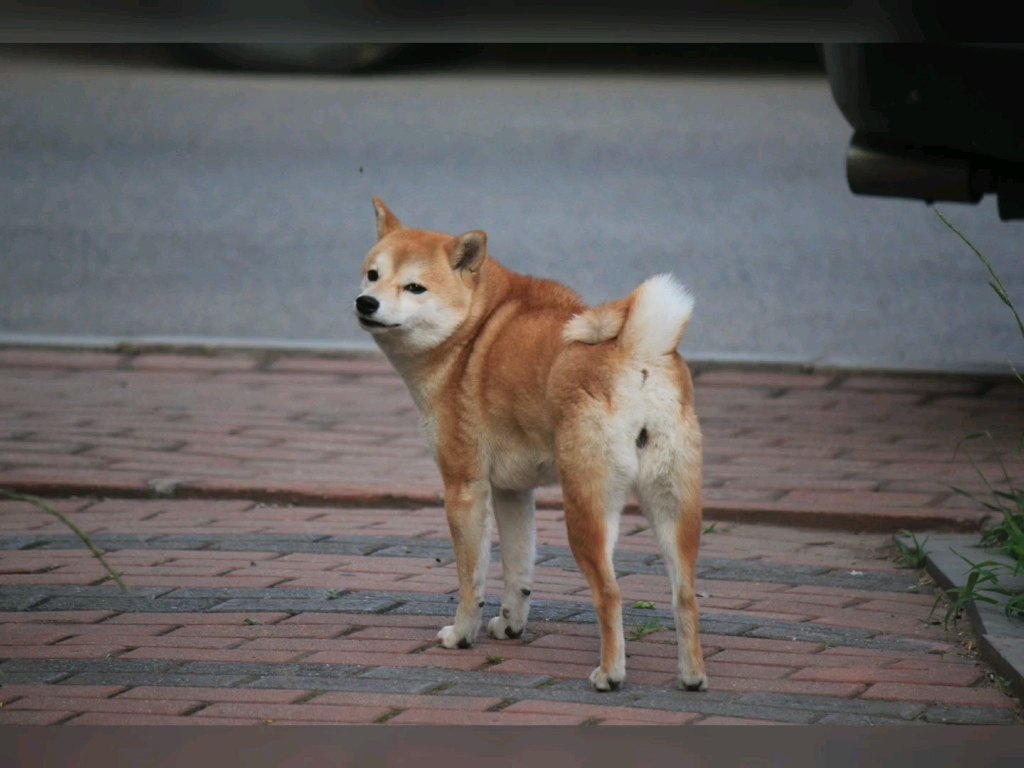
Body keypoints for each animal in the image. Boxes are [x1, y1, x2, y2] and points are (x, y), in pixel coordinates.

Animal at [356, 199, 708, 696]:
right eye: (373, 275)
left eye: (414, 287)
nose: (366, 302)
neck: (473, 327)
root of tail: (637, 353)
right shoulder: (512, 491)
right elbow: (518, 573)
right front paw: (510, 626)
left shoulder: (464, 487)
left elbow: (472, 580)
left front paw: (462, 634)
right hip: (674, 507)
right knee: (685, 595)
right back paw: (692, 676)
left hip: (586, 509)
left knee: (610, 593)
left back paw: (610, 673)